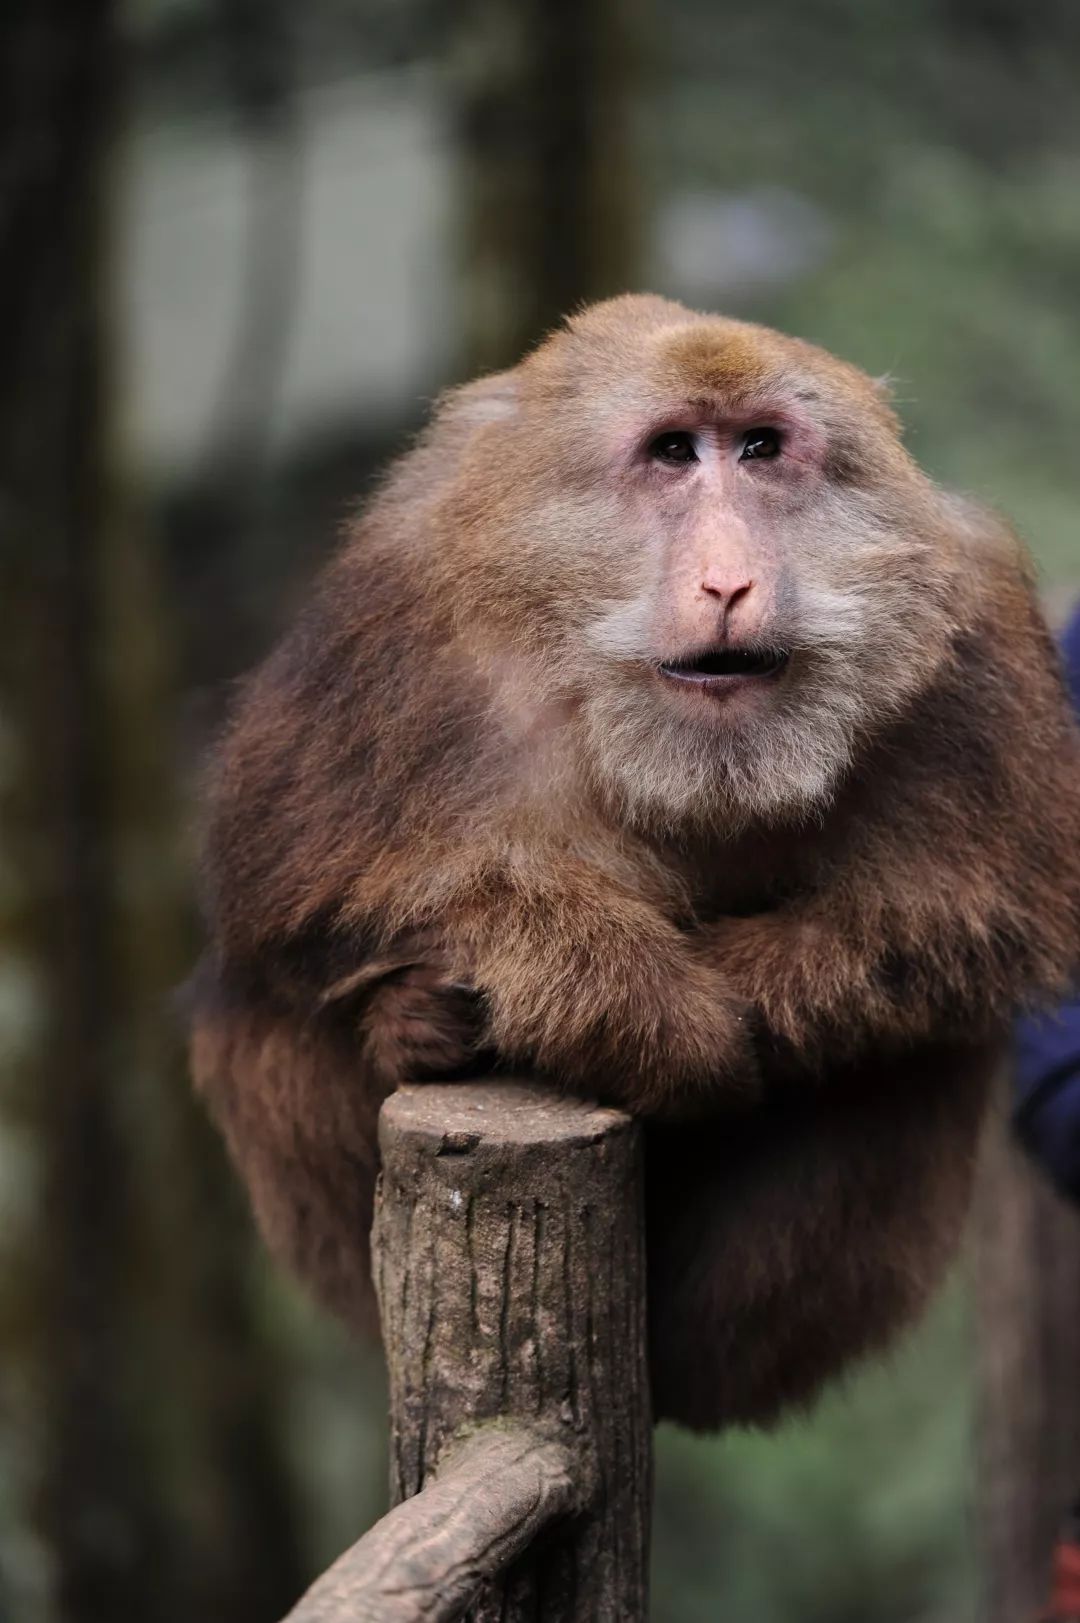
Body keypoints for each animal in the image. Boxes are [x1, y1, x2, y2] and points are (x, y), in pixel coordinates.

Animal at [189, 295, 1078, 1434]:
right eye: (671, 453)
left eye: (760, 448)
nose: (730, 579)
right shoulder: (385, 634)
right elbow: (301, 898)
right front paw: (634, 1002)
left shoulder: (971, 643)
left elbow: (964, 918)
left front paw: (732, 997)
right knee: (251, 1010)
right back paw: (415, 1026)